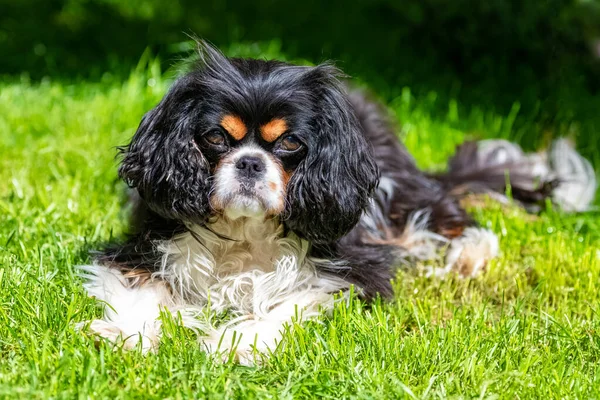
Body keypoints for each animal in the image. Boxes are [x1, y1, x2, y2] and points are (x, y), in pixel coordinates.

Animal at [78, 42, 596, 364]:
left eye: (289, 144)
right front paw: (125, 334)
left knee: (445, 212)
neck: (246, 233)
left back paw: (466, 254)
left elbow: (289, 301)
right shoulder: (142, 250)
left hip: (393, 191)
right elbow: (144, 291)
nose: (250, 163)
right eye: (215, 138)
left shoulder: (351, 271)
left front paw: (237, 341)